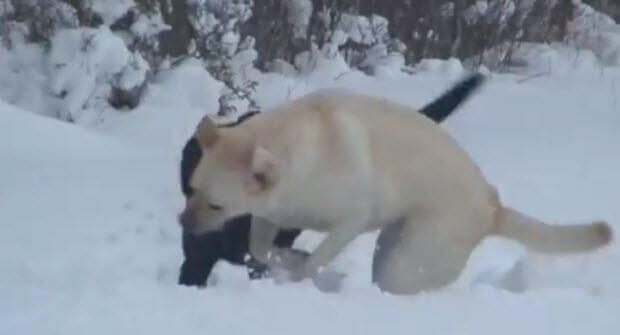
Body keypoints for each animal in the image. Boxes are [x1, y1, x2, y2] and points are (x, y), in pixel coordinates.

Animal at [177, 74, 486, 288]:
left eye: (217, 205)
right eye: (191, 188)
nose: (183, 223)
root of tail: (491, 205)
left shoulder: (351, 221)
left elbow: (314, 260)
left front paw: (297, 272)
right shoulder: (268, 215)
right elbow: (260, 249)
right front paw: (282, 259)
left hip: (404, 262)